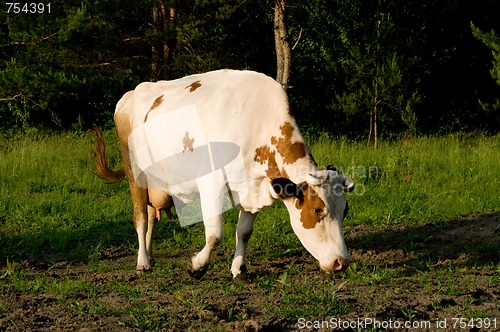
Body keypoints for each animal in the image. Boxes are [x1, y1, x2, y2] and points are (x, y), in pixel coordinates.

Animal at [93, 68, 352, 278]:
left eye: (345, 210)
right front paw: (197, 266)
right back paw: (143, 262)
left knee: (149, 213)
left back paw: (149, 254)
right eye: (317, 209)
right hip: (135, 171)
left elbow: (244, 232)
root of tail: (132, 93)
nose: (342, 262)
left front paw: (239, 269)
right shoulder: (211, 183)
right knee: (141, 217)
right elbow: (215, 234)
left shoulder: (252, 186)